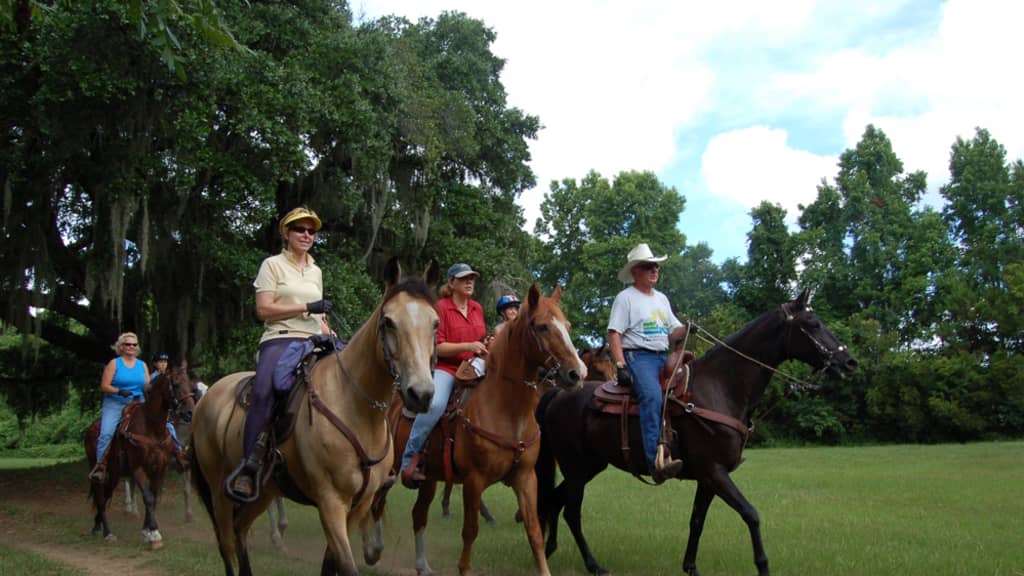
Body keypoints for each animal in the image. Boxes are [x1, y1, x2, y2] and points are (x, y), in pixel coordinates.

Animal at [83, 364, 197, 545]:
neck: (152, 428)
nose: (190, 413)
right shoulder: (137, 468)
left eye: (192, 386)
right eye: (176, 384)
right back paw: (107, 532)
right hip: (97, 469)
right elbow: (148, 497)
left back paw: (97, 526)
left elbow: (154, 497)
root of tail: (90, 429)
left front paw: (148, 530)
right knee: (101, 498)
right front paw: (153, 533)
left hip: (115, 473)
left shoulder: (160, 469)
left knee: (107, 494)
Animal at [190, 256, 438, 573]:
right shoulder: (330, 502)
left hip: (264, 492)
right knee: (226, 544)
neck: (355, 408)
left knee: (239, 529)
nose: (421, 394)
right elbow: (346, 566)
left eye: (435, 323)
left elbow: (331, 565)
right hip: (218, 489)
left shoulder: (359, 505)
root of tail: (207, 396)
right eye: (388, 322)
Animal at [376, 282, 589, 573]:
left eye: (567, 325)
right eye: (543, 326)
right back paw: (373, 550)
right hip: (390, 468)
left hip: (428, 477)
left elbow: (534, 530)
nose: (578, 373)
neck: (509, 411)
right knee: (376, 504)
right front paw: (464, 569)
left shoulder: (525, 478)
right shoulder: (473, 481)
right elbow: (470, 530)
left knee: (418, 514)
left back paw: (422, 566)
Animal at [536, 289, 856, 573]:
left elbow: (697, 521)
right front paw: (763, 566)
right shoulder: (715, 471)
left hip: (589, 466)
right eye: (812, 324)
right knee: (571, 511)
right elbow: (751, 514)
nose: (849, 362)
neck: (721, 387)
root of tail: (558, 395)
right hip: (575, 466)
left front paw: (690, 567)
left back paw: (550, 550)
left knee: (555, 501)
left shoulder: (708, 477)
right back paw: (593, 565)